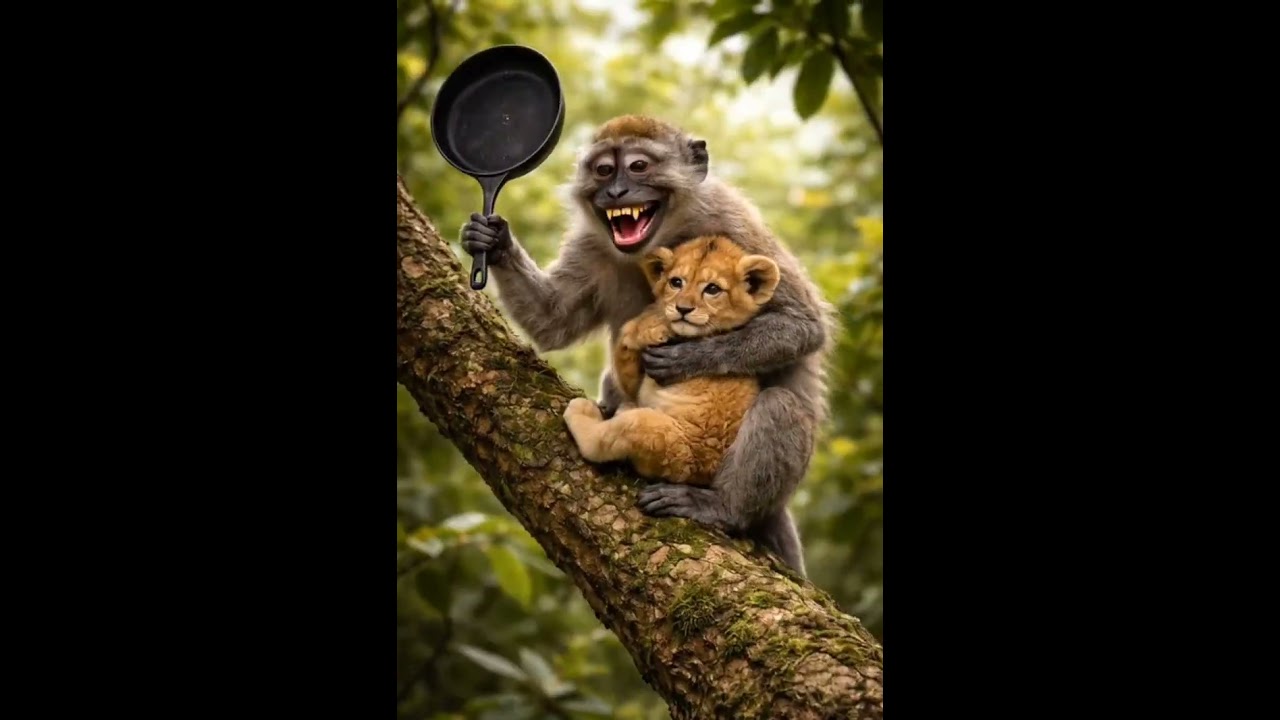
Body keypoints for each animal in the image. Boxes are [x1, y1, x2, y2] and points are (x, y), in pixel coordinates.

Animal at [460, 115, 835, 577]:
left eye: (638, 166)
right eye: (604, 170)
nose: (616, 191)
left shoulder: (731, 222)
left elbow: (802, 326)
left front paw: (687, 358)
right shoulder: (591, 243)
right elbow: (553, 321)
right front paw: (492, 242)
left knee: (780, 404)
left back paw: (723, 508)